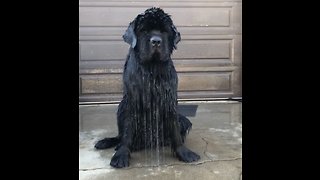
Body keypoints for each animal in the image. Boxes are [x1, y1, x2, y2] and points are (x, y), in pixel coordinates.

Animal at [94, 6, 200, 167]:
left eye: (164, 31)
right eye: (144, 30)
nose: (156, 41)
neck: (152, 68)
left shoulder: (169, 99)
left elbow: (175, 129)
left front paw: (184, 152)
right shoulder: (132, 101)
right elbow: (127, 131)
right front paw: (122, 154)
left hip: (183, 120)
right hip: (121, 107)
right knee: (120, 135)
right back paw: (109, 142)